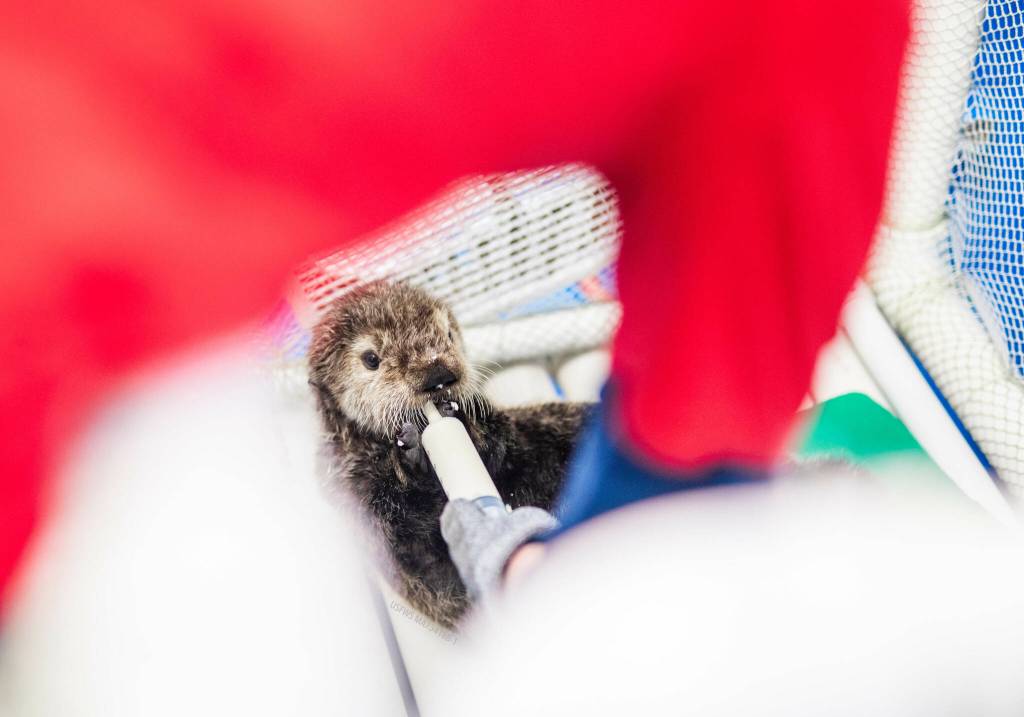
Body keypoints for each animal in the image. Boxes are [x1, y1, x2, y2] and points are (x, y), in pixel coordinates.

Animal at [307, 281, 593, 627]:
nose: (438, 376)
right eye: (371, 358)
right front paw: (412, 455)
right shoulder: (357, 497)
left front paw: (462, 418)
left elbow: (504, 444)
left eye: (448, 335)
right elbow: (409, 537)